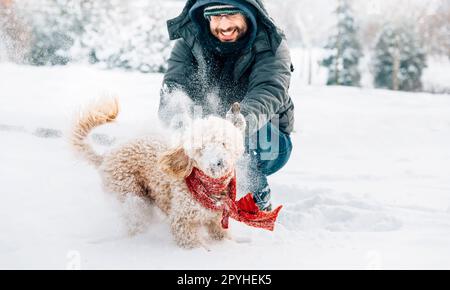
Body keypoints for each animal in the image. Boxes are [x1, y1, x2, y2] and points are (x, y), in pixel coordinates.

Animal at [71, 98, 246, 248]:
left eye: (223, 143)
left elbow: (221, 235)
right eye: (200, 148)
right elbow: (191, 242)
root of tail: (106, 156)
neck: (209, 187)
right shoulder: (182, 221)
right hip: (131, 196)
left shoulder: (216, 220)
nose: (217, 162)